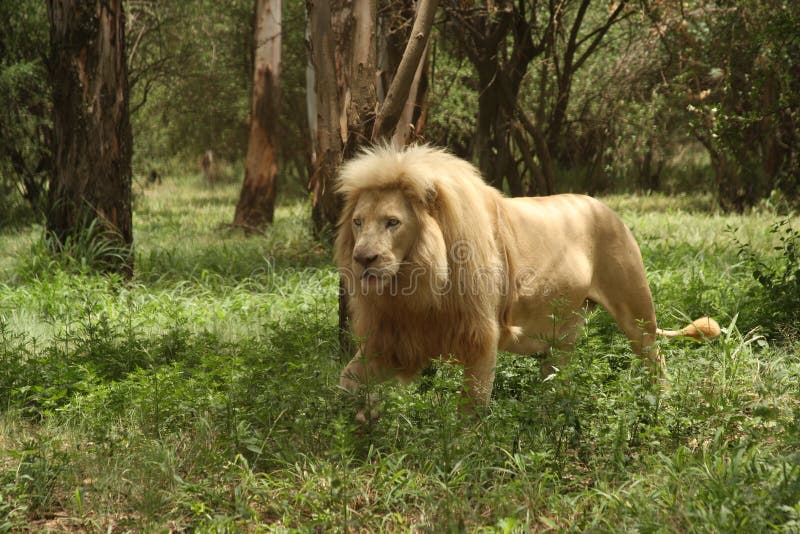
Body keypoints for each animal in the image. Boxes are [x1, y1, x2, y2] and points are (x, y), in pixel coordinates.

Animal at [334, 144, 720, 416]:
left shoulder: (481, 337)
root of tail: (607, 208)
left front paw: (462, 453)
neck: (414, 283)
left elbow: (470, 408)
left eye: (393, 222)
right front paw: (355, 421)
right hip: (563, 331)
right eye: (357, 222)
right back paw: (548, 414)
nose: (363, 259)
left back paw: (660, 405)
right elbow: (345, 382)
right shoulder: (392, 338)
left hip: (636, 312)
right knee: (557, 376)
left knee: (656, 359)